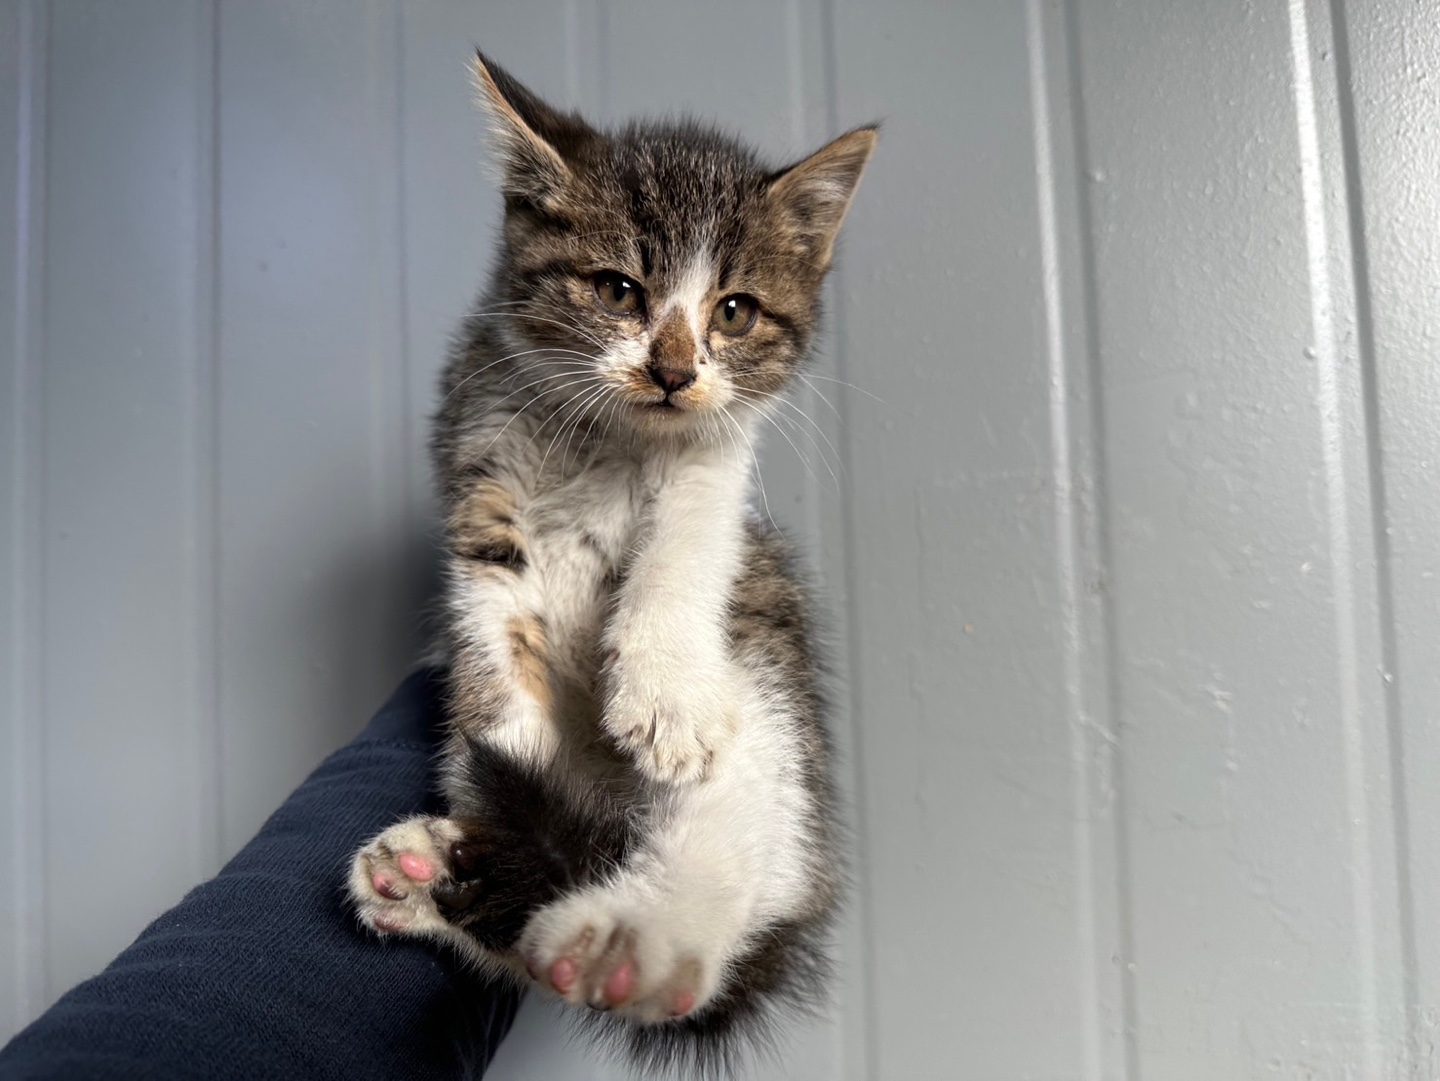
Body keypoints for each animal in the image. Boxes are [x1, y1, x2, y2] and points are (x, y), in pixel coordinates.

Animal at [345, 52, 875, 1081]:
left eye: (734, 311)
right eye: (619, 290)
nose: (672, 370)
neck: (607, 443)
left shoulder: (716, 471)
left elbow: (685, 549)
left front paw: (664, 689)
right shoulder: (479, 471)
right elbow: (488, 625)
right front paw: (505, 741)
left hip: (770, 688)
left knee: (733, 843)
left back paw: (632, 939)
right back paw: (435, 874)